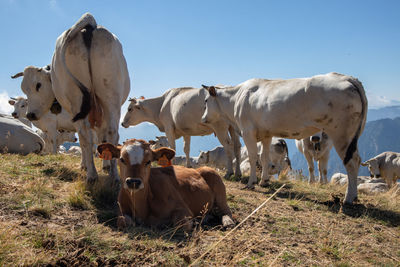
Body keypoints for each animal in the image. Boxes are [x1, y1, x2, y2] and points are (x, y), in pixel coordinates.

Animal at [11, 13, 130, 184]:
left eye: (38, 85)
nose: (30, 114)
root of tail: (89, 23)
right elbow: (99, 139)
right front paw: (101, 166)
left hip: (82, 99)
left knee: (89, 137)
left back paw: (94, 175)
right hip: (108, 96)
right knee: (106, 134)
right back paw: (110, 176)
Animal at [96, 140, 234, 232]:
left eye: (148, 161)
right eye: (122, 159)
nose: (133, 181)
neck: (142, 207)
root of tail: (197, 169)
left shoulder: (183, 209)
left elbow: (181, 223)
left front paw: (193, 222)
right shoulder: (121, 209)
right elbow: (122, 221)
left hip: (216, 182)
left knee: (226, 211)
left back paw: (227, 222)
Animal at [202, 72, 368, 204]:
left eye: (205, 101)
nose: (203, 119)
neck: (236, 99)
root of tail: (347, 77)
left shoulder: (248, 131)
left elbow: (253, 156)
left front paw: (251, 183)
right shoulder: (266, 134)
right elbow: (264, 157)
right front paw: (264, 181)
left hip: (341, 134)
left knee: (351, 162)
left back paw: (348, 198)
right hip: (353, 136)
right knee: (357, 159)